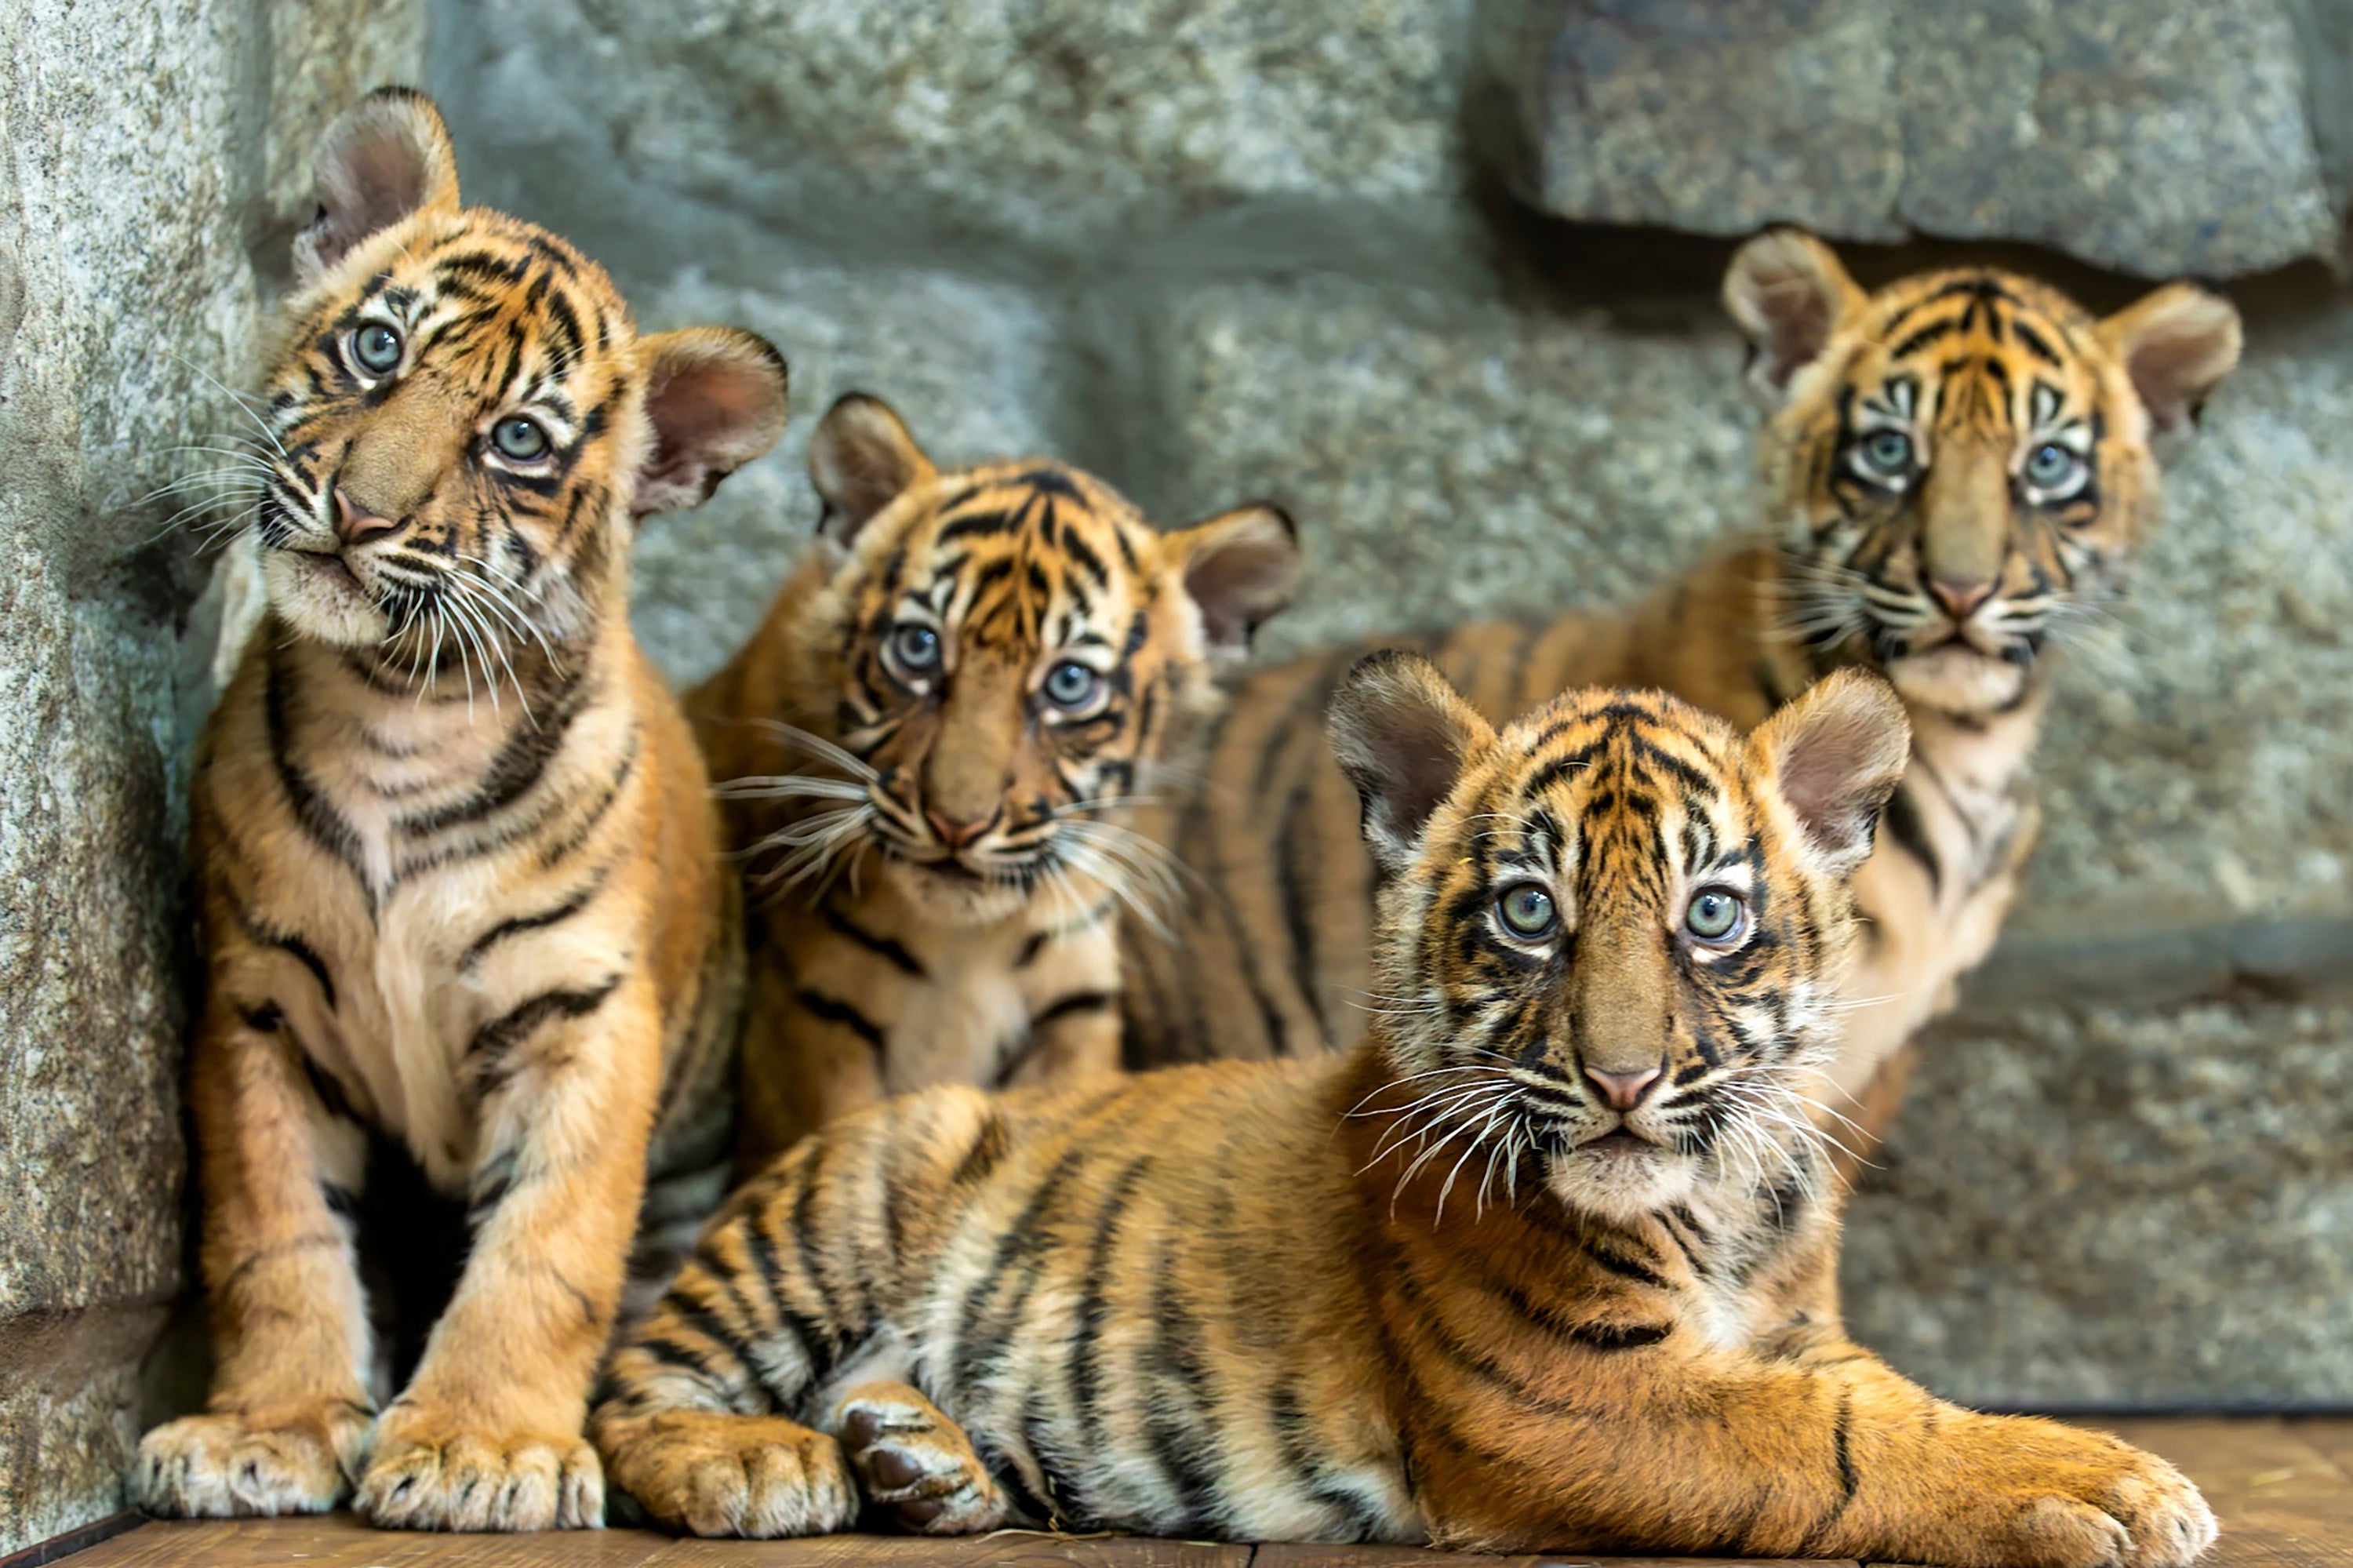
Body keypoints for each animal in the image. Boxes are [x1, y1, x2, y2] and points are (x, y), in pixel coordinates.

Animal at [128, 89, 790, 1532]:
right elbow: (274, 1232)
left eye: (519, 441)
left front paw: (484, 1447)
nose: (359, 511)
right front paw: (266, 1429)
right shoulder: (256, 1006)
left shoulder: (582, 1016)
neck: (399, 712)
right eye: (375, 348)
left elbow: (544, 1251)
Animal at [589, 655, 2215, 1565]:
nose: (1623, 1076)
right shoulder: (1578, 1390)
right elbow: (1847, 1440)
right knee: (632, 1387)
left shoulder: (1789, 1329)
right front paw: (2117, 1483)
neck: (1719, 1203)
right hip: (854, 1189)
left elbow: (1882, 1394)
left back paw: (919, 1456)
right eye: (1529, 911)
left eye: (1711, 913)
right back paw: (769, 1461)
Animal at [688, 392, 1300, 1165]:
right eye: (919, 647)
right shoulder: (814, 1017)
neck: (967, 945)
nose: (957, 823)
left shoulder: (1074, 1011)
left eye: (1069, 683)